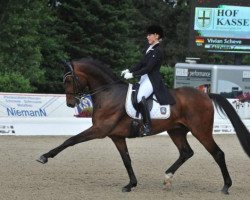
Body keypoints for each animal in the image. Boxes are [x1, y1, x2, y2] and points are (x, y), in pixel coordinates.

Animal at [36, 57, 250, 194]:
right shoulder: (116, 136)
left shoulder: (99, 130)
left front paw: (44, 157)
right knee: (186, 152)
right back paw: (167, 177)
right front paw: (130, 184)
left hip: (201, 130)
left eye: (69, 79)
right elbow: (126, 160)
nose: (70, 104)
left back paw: (226, 186)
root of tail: (205, 95)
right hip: (176, 131)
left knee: (218, 153)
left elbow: (71, 140)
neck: (108, 92)